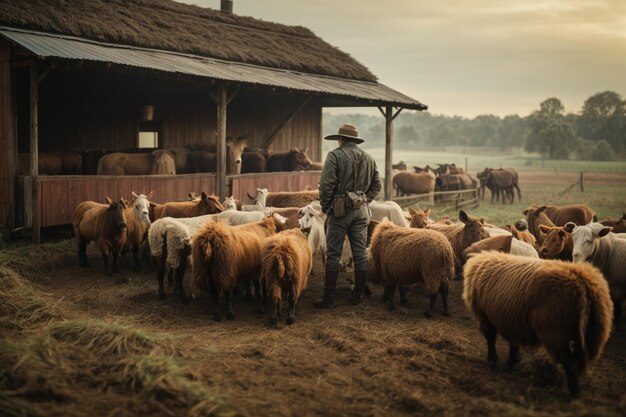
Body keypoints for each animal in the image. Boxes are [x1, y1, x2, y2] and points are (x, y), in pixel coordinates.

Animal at [460, 250, 612, 396]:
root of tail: (583, 286)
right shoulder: (513, 320)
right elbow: (513, 342)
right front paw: (512, 362)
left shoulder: (484, 315)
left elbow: (491, 339)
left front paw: (493, 360)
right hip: (592, 334)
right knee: (578, 361)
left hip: (557, 333)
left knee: (571, 363)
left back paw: (574, 391)